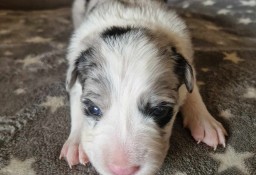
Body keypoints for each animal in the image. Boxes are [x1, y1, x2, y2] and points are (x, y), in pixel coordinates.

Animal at [60, 0, 228, 174]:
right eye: (93, 109)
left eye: (159, 111)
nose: (123, 170)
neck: (130, 21)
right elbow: (76, 103)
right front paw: (76, 144)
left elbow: (192, 89)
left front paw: (205, 122)